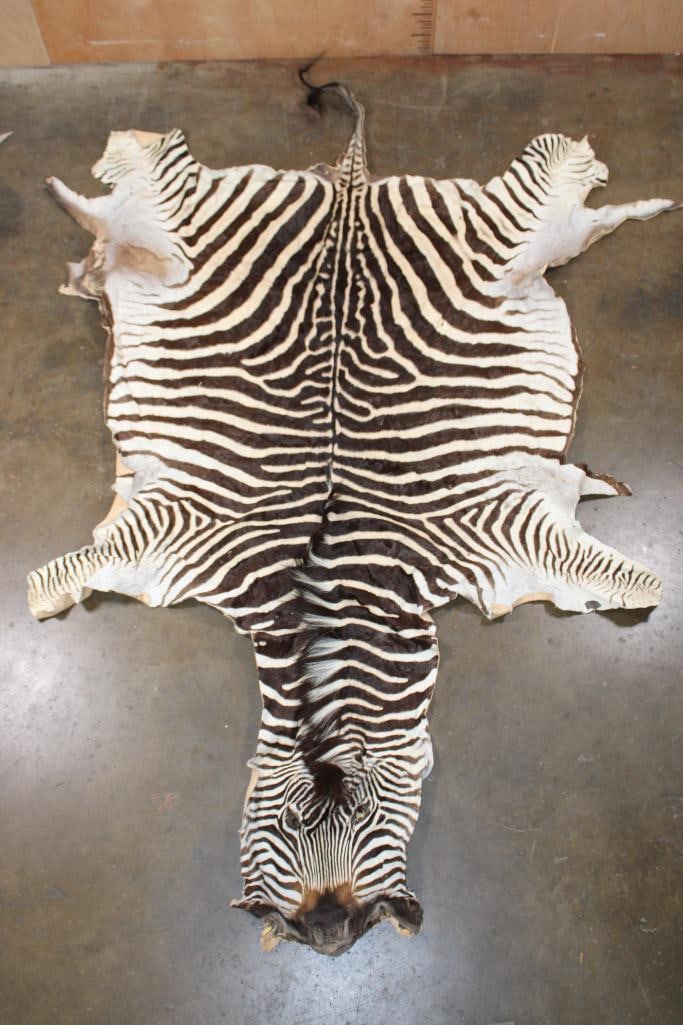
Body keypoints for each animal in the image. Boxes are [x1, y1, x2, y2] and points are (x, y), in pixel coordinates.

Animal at [28, 72, 676, 954]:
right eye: (286, 829)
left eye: (363, 819)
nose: (330, 932)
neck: (328, 588)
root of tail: (350, 189)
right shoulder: (159, 533)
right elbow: (52, 578)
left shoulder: (510, 533)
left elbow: (619, 577)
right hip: (178, 226)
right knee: (130, 187)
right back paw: (76, 228)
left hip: (516, 234)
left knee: (569, 184)